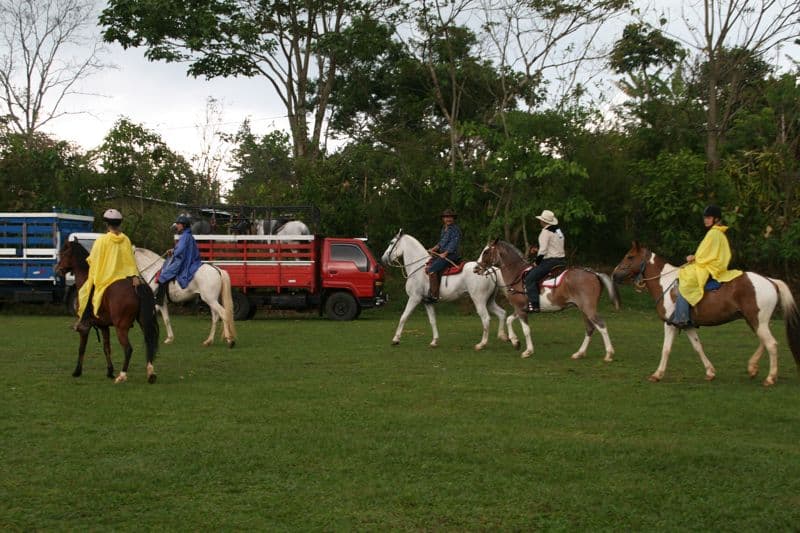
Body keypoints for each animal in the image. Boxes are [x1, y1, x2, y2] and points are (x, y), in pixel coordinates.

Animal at [55, 240, 159, 382]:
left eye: (64, 253)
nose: (58, 269)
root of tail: (136, 285)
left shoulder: (85, 328)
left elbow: (82, 348)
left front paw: (77, 371)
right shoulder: (104, 326)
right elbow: (106, 348)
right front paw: (110, 371)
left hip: (121, 328)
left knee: (128, 349)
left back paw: (122, 375)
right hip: (144, 323)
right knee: (149, 342)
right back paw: (150, 373)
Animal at [476, 239, 620, 360]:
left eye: (486, 251)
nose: (476, 268)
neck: (516, 274)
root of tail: (594, 273)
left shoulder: (521, 309)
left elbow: (526, 330)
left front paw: (528, 351)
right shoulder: (521, 308)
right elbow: (509, 320)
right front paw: (515, 341)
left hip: (588, 308)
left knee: (601, 325)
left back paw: (609, 354)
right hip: (583, 310)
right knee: (590, 328)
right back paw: (579, 353)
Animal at [612, 242, 800, 386]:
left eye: (630, 257)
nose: (614, 274)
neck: (665, 282)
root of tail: (771, 281)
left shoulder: (670, 324)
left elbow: (666, 349)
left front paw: (657, 374)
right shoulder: (686, 326)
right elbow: (698, 347)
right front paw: (710, 372)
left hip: (757, 321)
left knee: (771, 344)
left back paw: (770, 378)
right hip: (755, 321)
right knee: (764, 342)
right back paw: (752, 368)